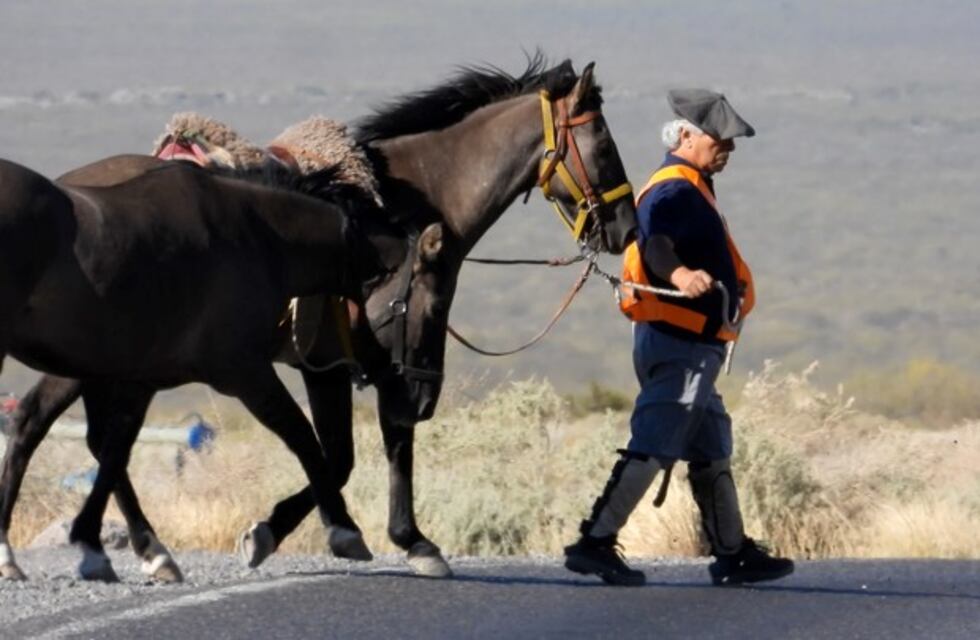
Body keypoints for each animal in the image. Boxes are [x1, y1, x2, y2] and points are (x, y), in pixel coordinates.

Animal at [0, 157, 455, 582]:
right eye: (434, 309)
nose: (424, 401)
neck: (259, 240)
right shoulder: (246, 373)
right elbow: (303, 438)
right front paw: (343, 531)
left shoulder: (140, 379)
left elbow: (114, 450)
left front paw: (103, 546)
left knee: (47, 427)